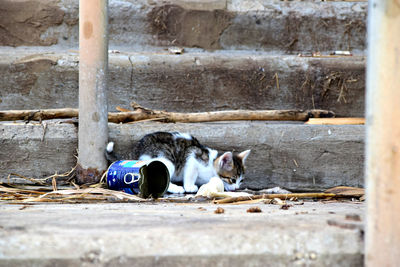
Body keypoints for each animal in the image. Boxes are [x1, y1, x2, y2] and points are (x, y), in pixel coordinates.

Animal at [106, 132, 250, 195]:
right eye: (232, 179)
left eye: (241, 180)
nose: (237, 188)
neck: (211, 164)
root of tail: (136, 149)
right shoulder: (193, 157)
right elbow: (190, 174)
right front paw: (189, 186)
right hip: (166, 160)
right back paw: (176, 188)